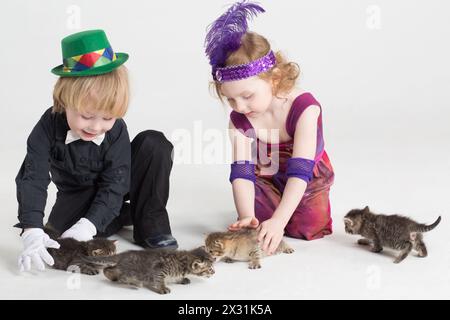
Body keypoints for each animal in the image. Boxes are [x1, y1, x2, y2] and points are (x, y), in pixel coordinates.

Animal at [83, 246, 216, 294]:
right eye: (209, 268)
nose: (214, 272)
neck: (181, 262)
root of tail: (123, 255)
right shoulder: (159, 269)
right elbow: (159, 279)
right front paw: (163, 288)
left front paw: (182, 279)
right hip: (131, 271)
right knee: (114, 273)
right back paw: (132, 283)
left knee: (108, 268)